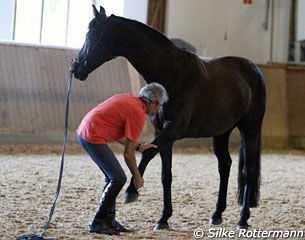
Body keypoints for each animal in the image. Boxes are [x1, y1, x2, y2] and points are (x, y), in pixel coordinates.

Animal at [71, 5, 264, 231]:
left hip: (249, 130)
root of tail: (253, 69)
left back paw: (243, 219)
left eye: (92, 35)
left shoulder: (174, 129)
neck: (172, 73)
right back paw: (217, 215)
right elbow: (166, 175)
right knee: (224, 166)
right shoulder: (163, 131)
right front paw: (163, 218)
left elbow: (146, 155)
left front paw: (131, 192)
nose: (76, 68)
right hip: (221, 133)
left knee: (248, 171)